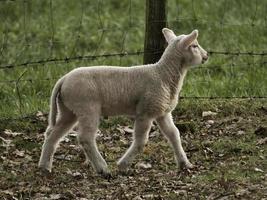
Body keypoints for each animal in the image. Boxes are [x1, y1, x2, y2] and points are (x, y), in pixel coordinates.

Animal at [38, 27, 209, 177]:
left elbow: (174, 134)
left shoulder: (162, 112)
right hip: (87, 107)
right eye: (194, 45)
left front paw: (185, 163)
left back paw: (44, 166)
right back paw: (102, 169)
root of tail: (63, 79)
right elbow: (141, 142)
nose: (206, 56)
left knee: (52, 134)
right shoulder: (145, 112)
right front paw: (123, 165)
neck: (163, 74)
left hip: (68, 110)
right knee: (85, 138)